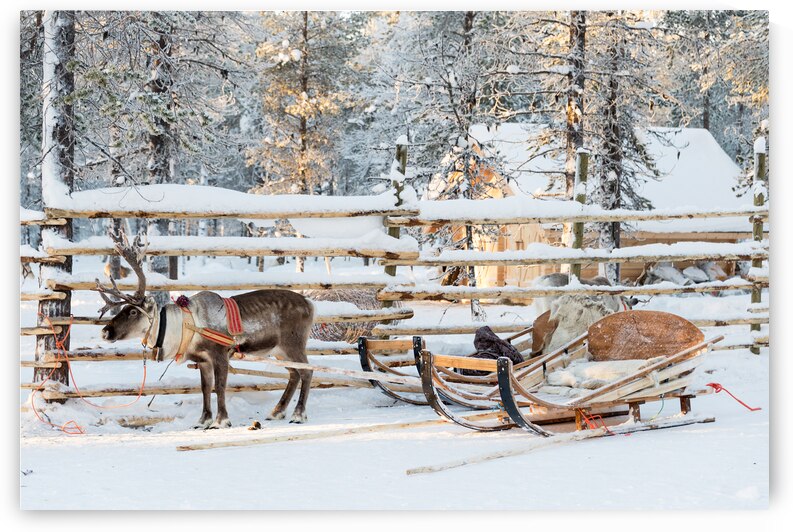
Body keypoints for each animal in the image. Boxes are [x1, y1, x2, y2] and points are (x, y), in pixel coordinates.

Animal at [96, 228, 315, 429]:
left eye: (133, 311)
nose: (105, 331)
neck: (185, 326)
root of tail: (310, 304)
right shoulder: (202, 360)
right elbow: (205, 388)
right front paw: (203, 420)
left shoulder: (220, 355)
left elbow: (219, 387)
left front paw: (221, 420)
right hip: (279, 351)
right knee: (294, 373)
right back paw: (277, 411)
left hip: (293, 344)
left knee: (307, 371)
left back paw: (298, 414)